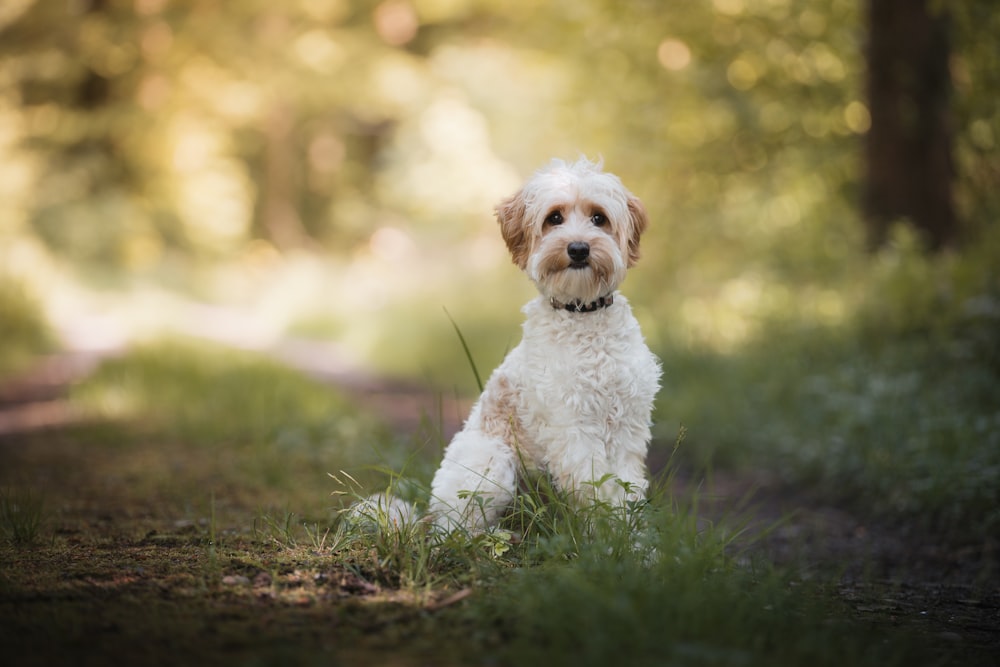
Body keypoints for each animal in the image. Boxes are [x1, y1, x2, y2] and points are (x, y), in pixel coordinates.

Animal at [426, 158, 660, 532]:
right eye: (554, 218)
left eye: (599, 218)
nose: (578, 248)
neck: (584, 317)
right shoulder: (572, 429)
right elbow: (596, 488)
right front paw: (606, 536)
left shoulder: (629, 424)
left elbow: (627, 487)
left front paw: (633, 539)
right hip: (492, 463)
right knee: (453, 528)